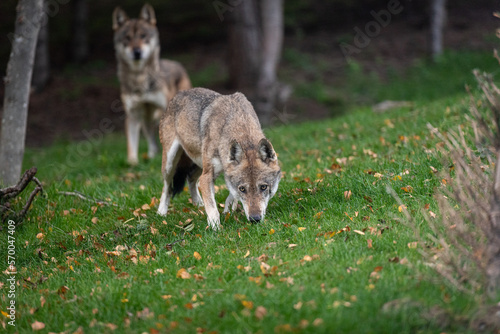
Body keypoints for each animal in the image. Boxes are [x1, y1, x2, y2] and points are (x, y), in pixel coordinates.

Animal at [113, 3, 191, 166]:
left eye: (143, 36)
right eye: (127, 38)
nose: (137, 52)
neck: (140, 78)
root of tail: (178, 64)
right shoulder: (133, 114)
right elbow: (132, 144)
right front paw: (132, 163)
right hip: (145, 119)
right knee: (150, 135)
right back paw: (151, 155)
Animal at [156, 87, 282, 230]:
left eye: (263, 187)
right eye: (242, 189)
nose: (255, 219)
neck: (240, 125)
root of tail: (178, 94)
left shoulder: (224, 171)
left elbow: (230, 193)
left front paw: (229, 207)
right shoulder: (207, 176)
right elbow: (212, 206)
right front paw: (215, 227)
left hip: (198, 164)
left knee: (191, 180)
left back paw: (198, 204)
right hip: (170, 163)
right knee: (167, 187)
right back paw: (161, 212)